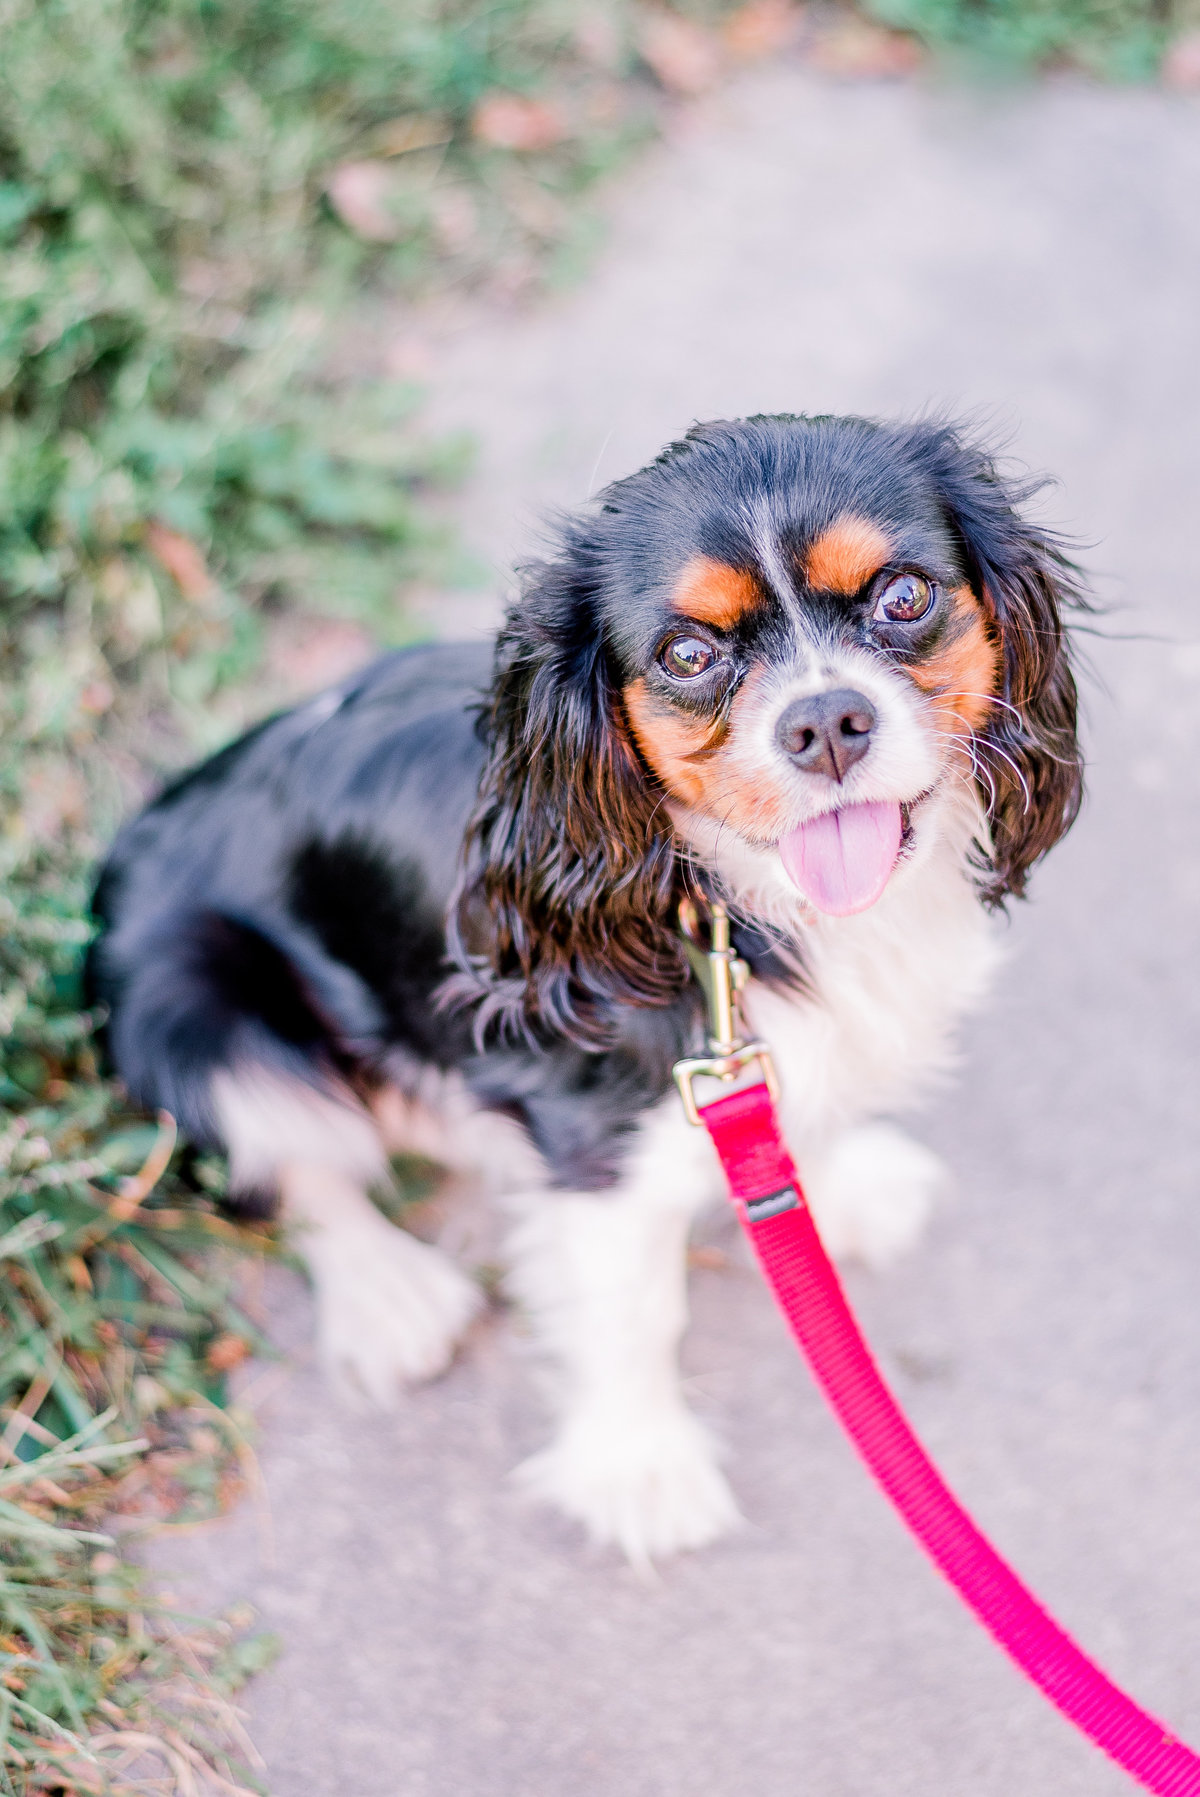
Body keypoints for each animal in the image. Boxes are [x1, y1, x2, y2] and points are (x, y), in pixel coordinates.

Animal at [84, 413, 1085, 1566]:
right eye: (689, 654)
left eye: (905, 597)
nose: (828, 720)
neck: (743, 899)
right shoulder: (592, 1130)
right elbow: (633, 1312)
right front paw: (641, 1468)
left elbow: (796, 1124)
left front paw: (838, 1191)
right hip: (185, 996)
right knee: (292, 1161)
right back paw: (390, 1293)